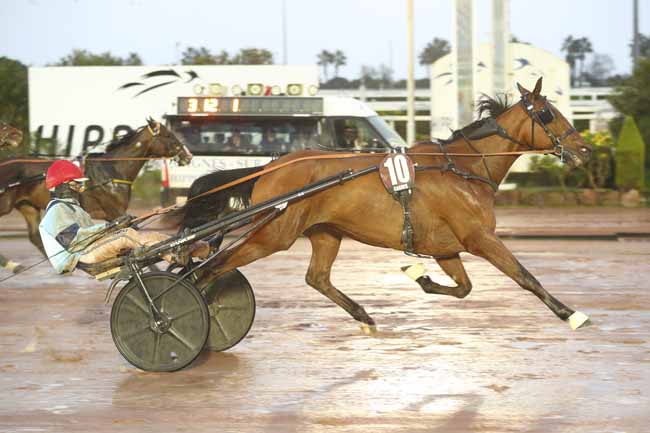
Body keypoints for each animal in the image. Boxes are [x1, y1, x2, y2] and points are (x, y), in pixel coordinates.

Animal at [0, 118, 191, 272]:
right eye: (168, 135)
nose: (188, 155)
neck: (112, 169)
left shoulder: (111, 215)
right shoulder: (115, 210)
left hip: (27, 205)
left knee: (34, 236)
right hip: (5, 205)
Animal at [190, 77, 588, 328]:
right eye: (548, 114)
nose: (584, 149)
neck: (463, 168)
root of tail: (272, 166)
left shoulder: (446, 247)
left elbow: (463, 288)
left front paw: (419, 276)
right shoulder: (480, 238)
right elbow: (525, 277)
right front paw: (571, 314)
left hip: (325, 232)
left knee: (316, 277)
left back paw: (363, 316)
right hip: (274, 233)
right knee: (213, 267)